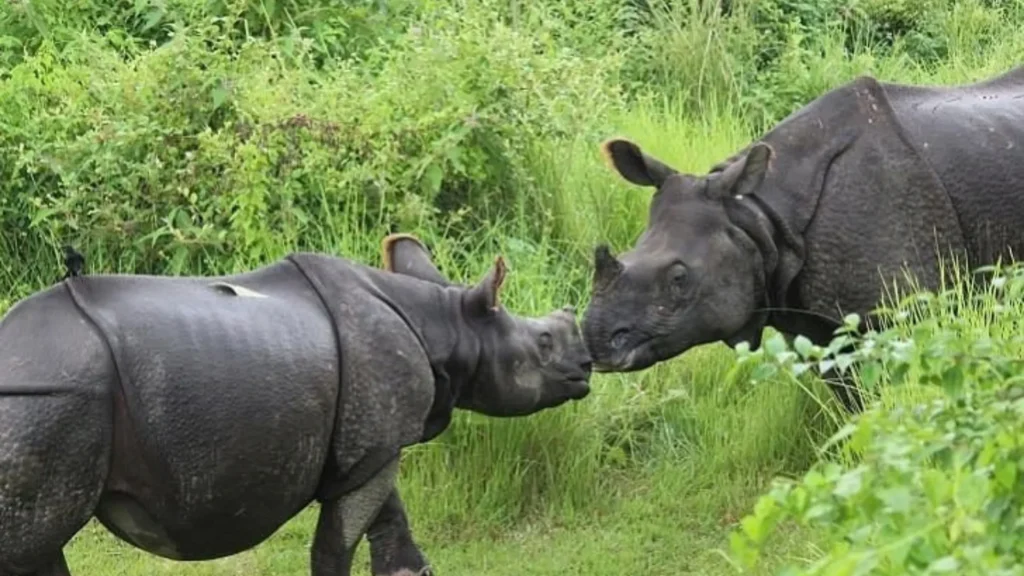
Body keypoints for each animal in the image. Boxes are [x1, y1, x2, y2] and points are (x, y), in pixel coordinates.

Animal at [0, 233, 592, 576]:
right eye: (543, 344)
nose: (587, 366)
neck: (446, 324)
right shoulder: (374, 445)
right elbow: (337, 542)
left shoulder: (373, 446)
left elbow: (390, 519)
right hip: (50, 399)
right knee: (30, 541)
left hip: (45, 397)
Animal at [581, 65, 1024, 412]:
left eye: (679, 278)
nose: (596, 340)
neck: (758, 216)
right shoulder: (813, 330)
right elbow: (854, 401)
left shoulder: (909, 312)